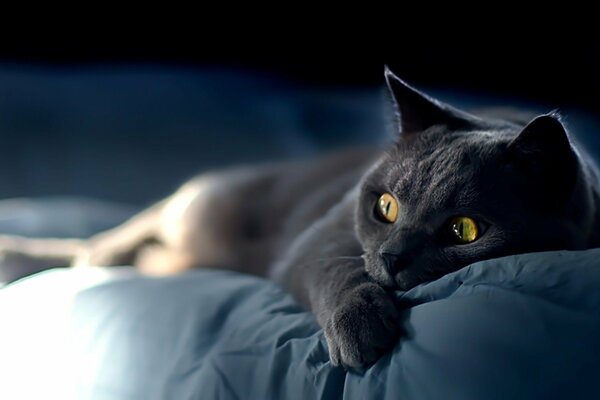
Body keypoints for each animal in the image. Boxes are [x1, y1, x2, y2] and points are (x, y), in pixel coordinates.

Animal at [1, 69, 600, 368]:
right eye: (386, 206)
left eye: (465, 229)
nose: (391, 257)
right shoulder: (321, 239)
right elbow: (337, 270)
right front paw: (362, 331)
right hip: (208, 205)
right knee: (135, 223)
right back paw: (84, 257)